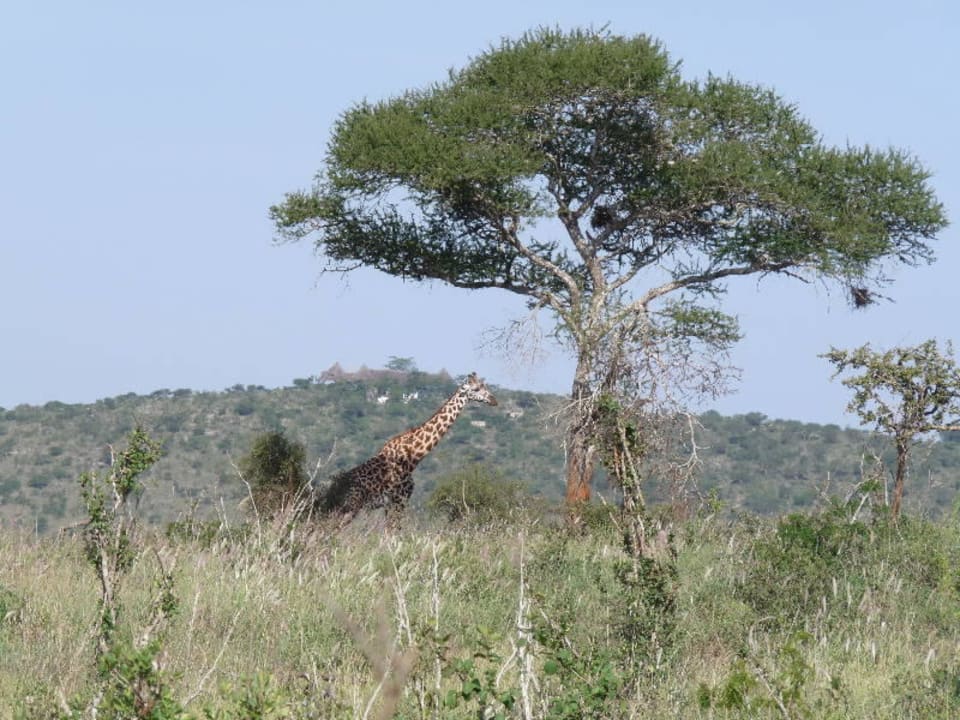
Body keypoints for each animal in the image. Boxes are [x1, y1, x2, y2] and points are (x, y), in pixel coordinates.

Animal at [318, 372, 498, 526]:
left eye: (485, 385)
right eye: (476, 389)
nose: (494, 400)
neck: (414, 456)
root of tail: (331, 489)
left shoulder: (391, 504)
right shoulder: (399, 499)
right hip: (349, 508)